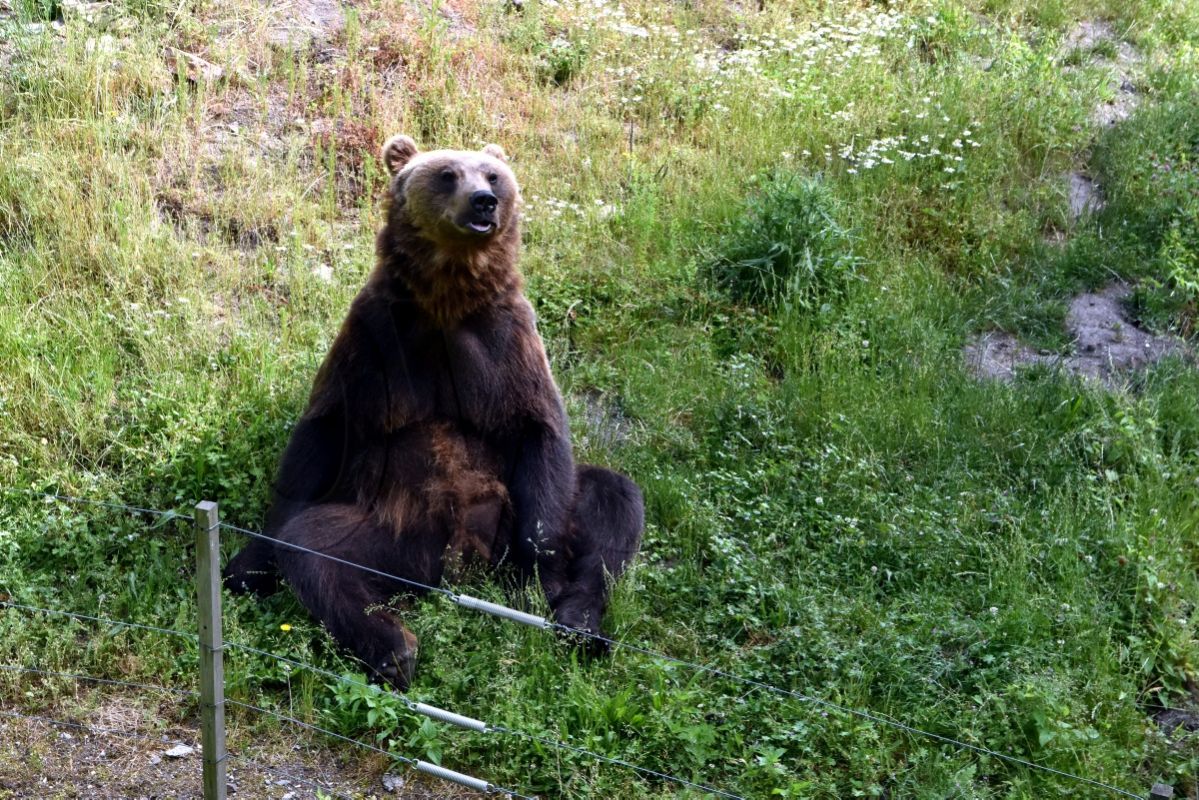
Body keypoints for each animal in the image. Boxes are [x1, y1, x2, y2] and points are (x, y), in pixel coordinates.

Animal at [220, 134, 642, 690]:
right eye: (447, 174)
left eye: (492, 175)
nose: (484, 202)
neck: (447, 296)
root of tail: (462, 564)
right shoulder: (376, 335)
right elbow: (322, 433)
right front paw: (250, 560)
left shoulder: (506, 339)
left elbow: (541, 428)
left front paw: (539, 579)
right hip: (394, 530)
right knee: (315, 546)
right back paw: (393, 649)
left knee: (610, 497)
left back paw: (579, 623)